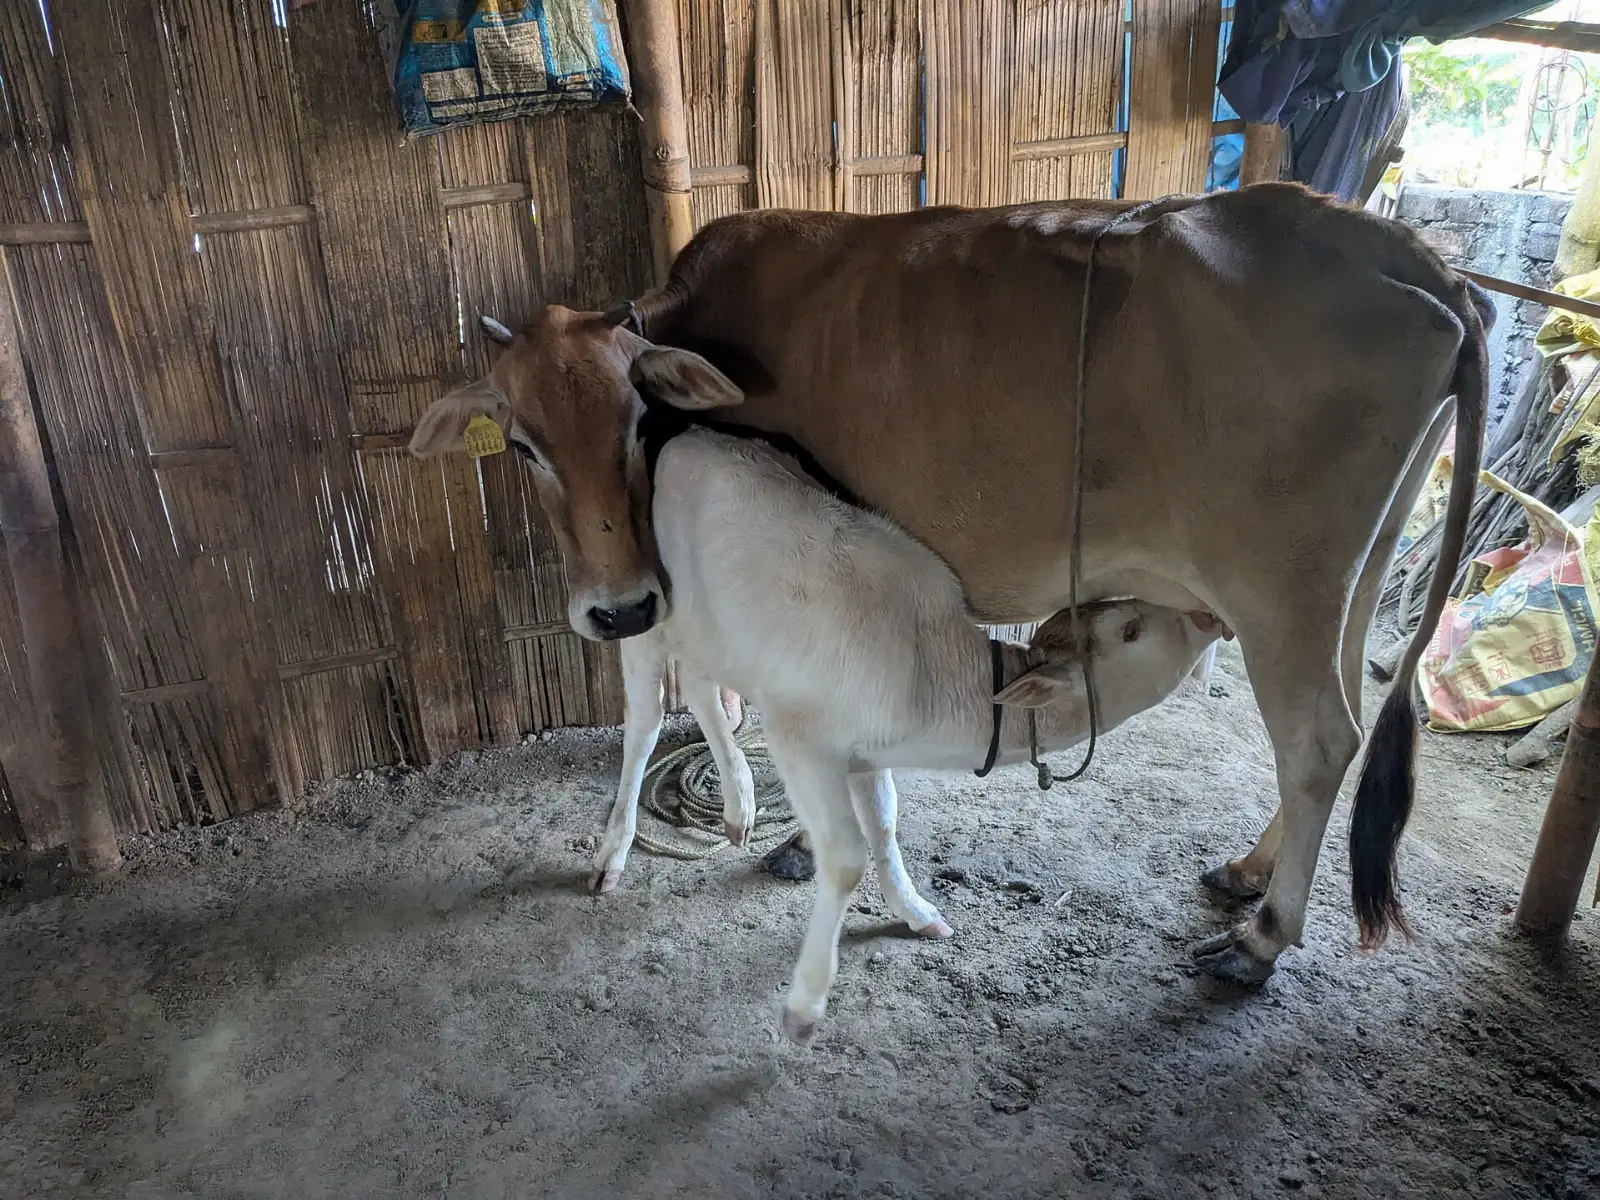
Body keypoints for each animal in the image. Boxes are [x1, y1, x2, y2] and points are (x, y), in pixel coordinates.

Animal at [410, 183, 1490, 984]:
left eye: (637, 418)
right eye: (519, 442)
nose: (617, 603)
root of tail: (1412, 252)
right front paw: (750, 814)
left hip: (1279, 595)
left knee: (1316, 741)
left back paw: (1263, 937)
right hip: (1350, 582)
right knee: (1344, 719)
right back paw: (1247, 870)